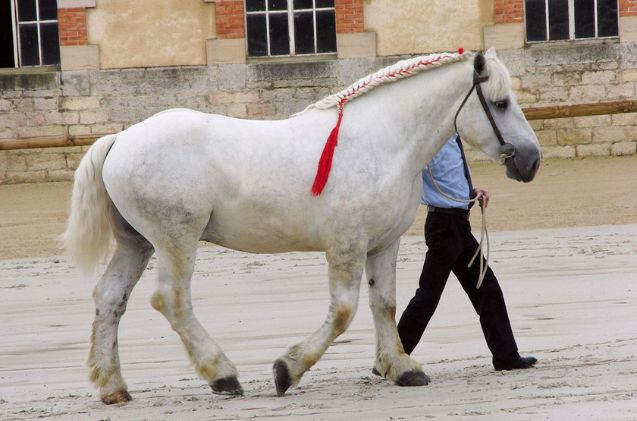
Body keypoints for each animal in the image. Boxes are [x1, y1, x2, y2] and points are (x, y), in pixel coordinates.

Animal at [63, 47, 536, 402]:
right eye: (500, 103)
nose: (531, 160)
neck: (381, 141)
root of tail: (120, 139)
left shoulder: (383, 245)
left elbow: (384, 304)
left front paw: (401, 368)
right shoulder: (346, 245)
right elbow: (343, 312)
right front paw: (286, 370)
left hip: (137, 243)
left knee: (110, 299)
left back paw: (113, 387)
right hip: (176, 241)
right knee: (172, 301)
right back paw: (223, 375)